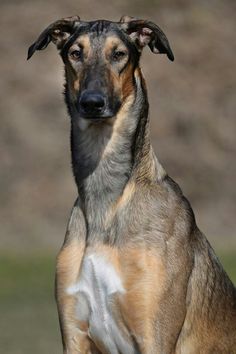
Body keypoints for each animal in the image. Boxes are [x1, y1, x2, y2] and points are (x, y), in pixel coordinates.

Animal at [28, 14, 236, 354]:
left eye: (119, 54)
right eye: (75, 52)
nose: (92, 103)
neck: (108, 200)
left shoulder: (154, 333)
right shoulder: (74, 332)